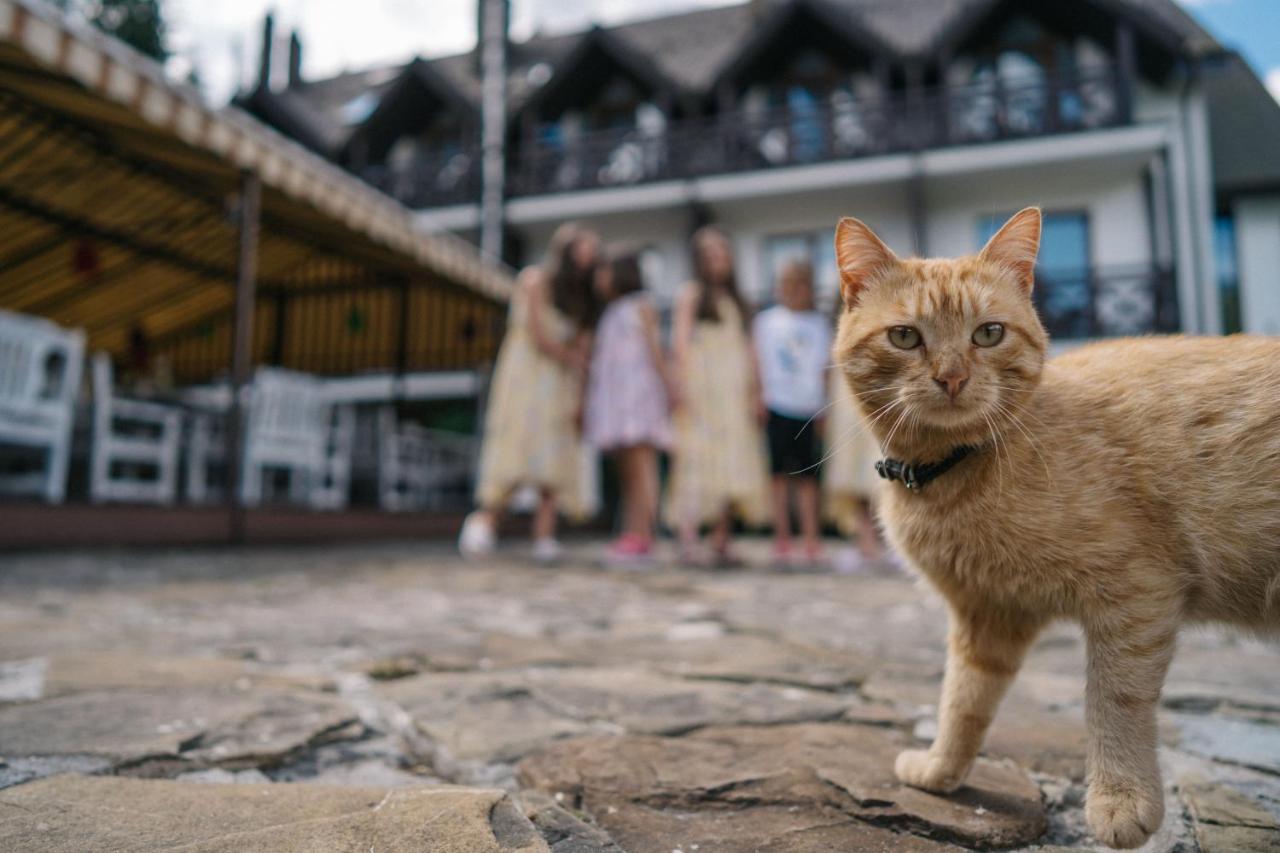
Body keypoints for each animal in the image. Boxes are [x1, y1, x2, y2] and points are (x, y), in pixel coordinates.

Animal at [829, 204, 1280, 845]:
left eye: (988, 334)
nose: (952, 377)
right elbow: (962, 702)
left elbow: (1113, 699)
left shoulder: (1135, 595)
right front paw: (940, 771)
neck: (958, 468)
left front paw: (1120, 800)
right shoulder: (989, 616)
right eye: (906, 336)